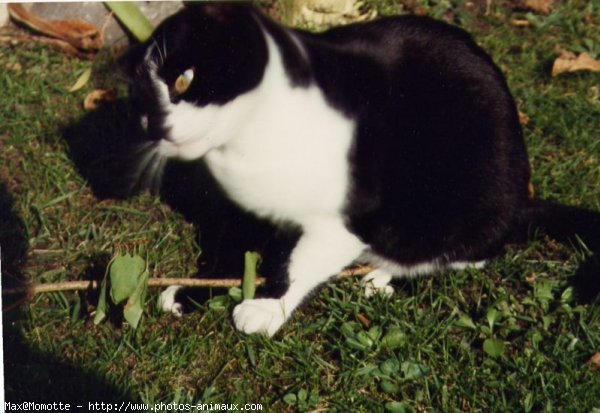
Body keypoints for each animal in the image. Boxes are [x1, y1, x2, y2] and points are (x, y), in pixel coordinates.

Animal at [123, 2, 600, 334]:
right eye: (142, 106)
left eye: (183, 80)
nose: (155, 126)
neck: (246, 146)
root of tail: (522, 201)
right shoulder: (243, 207)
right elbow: (233, 251)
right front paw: (193, 293)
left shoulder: (348, 219)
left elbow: (297, 264)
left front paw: (268, 307)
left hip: (462, 208)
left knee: (460, 254)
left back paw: (383, 275)